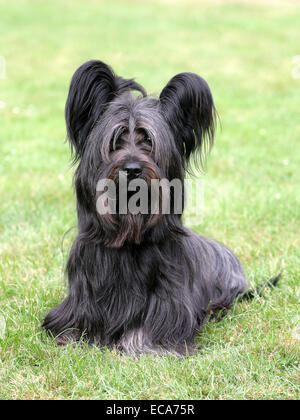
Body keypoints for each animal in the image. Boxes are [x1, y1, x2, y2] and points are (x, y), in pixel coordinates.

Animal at [42, 59, 278, 354]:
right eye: (116, 140)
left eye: (148, 141)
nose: (132, 168)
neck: (129, 236)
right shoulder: (84, 290)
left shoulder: (168, 298)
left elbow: (150, 328)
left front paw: (140, 345)